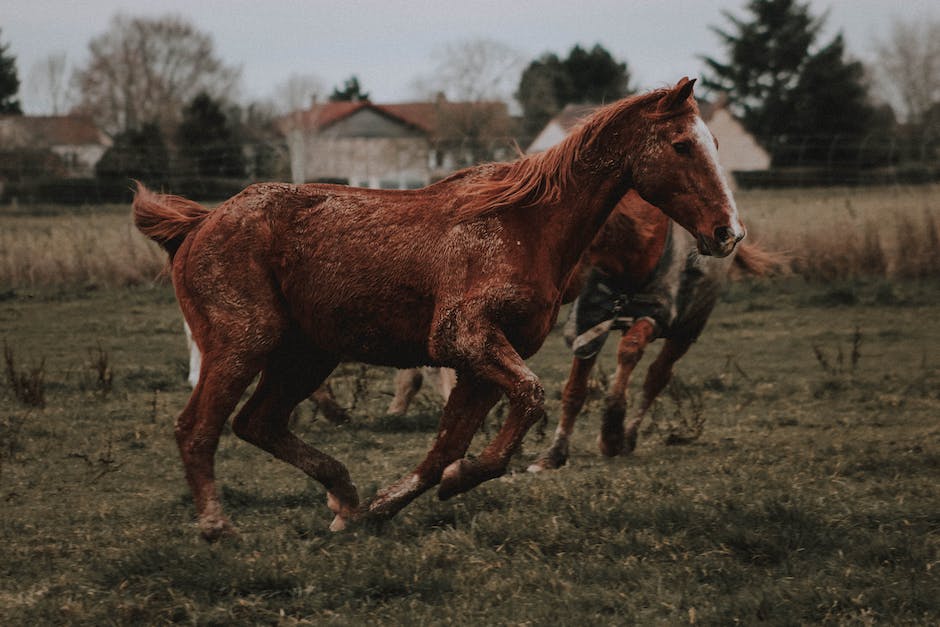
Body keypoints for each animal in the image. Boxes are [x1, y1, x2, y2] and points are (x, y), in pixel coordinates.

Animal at [136, 78, 744, 540]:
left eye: (716, 141)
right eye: (682, 145)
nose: (728, 233)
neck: (523, 225)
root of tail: (201, 222)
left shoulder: (483, 361)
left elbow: (450, 444)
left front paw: (395, 501)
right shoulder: (466, 340)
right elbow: (529, 400)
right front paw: (453, 481)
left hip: (307, 356)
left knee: (258, 423)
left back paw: (345, 500)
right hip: (244, 345)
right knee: (197, 428)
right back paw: (218, 528)